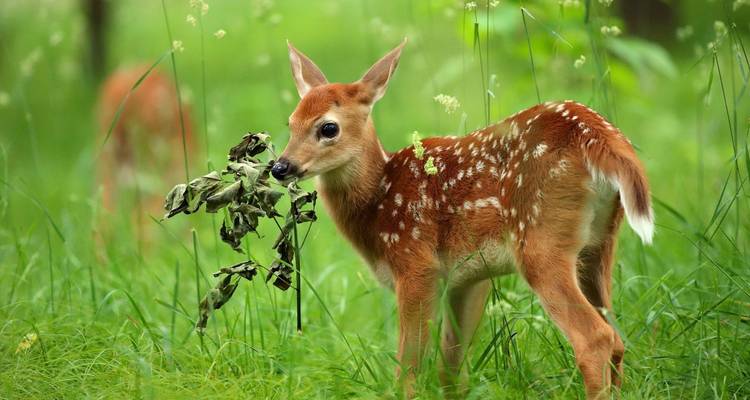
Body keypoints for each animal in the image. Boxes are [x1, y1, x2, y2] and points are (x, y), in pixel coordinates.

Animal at [271, 39, 653, 399]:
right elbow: (451, 369)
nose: (280, 167)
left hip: (540, 240)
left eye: (328, 128)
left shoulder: (417, 264)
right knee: (617, 339)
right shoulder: (467, 277)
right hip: (599, 244)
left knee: (595, 338)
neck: (378, 201)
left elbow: (409, 368)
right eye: (290, 123)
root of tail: (599, 136)